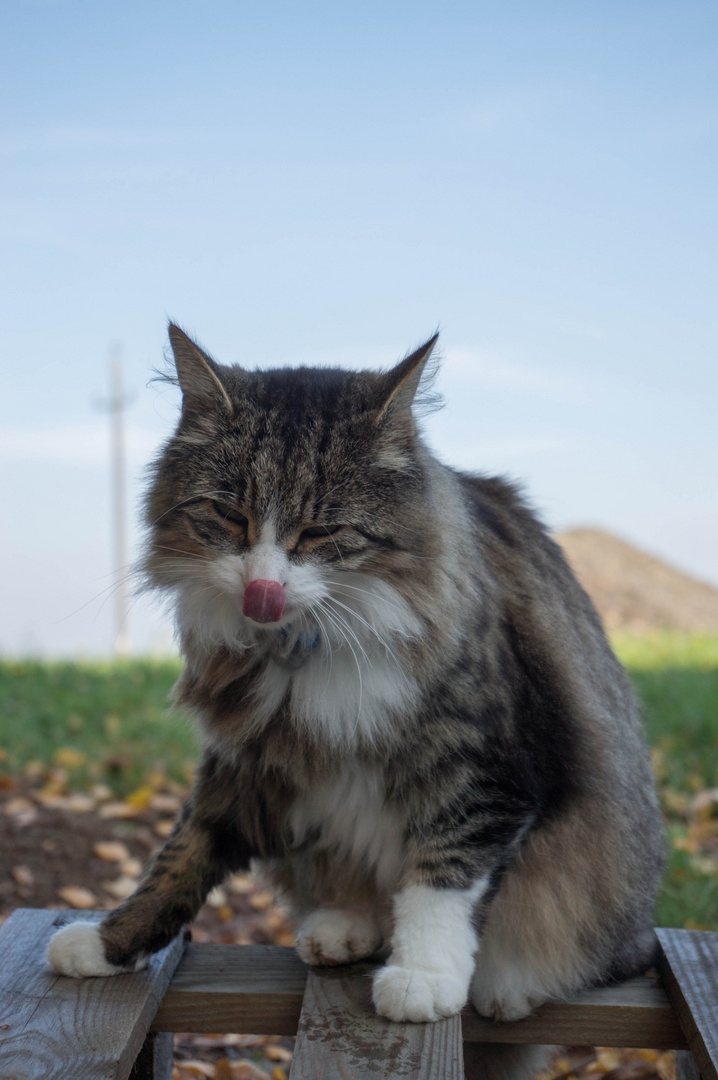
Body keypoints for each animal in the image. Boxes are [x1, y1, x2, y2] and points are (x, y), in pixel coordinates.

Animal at [47, 326, 665, 1036]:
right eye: (229, 518)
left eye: (321, 531)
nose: (263, 590)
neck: (305, 649)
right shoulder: (244, 765)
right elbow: (177, 864)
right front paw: (105, 943)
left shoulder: (486, 771)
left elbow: (442, 877)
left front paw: (423, 976)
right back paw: (344, 928)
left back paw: (506, 986)